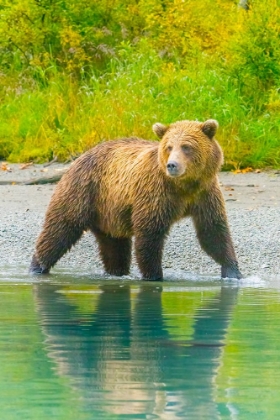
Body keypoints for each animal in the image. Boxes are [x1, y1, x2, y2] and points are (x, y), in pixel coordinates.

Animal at [29, 120, 242, 280]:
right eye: (169, 147)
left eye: (187, 147)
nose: (172, 165)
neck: (184, 186)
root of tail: (80, 157)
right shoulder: (156, 194)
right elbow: (150, 234)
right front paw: (154, 275)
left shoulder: (205, 194)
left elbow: (213, 232)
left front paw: (233, 272)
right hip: (83, 191)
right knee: (60, 229)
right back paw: (37, 267)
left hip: (109, 211)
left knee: (114, 246)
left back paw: (116, 272)